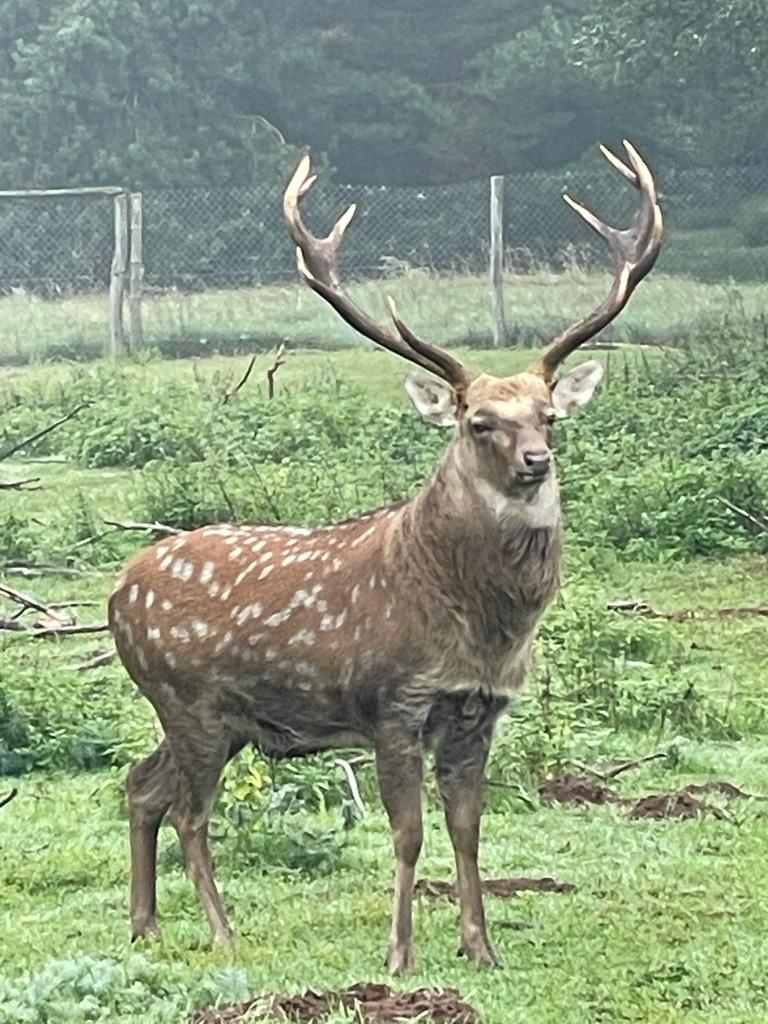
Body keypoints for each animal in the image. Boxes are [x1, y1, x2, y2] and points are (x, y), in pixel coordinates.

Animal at [109, 140, 662, 974]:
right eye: (477, 421)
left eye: (549, 414)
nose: (536, 461)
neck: (478, 626)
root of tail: (115, 594)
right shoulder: (392, 703)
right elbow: (407, 833)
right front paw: (400, 955)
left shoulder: (480, 710)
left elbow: (468, 830)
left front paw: (480, 946)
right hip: (187, 700)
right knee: (188, 813)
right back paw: (222, 932)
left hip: (221, 718)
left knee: (141, 785)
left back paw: (146, 926)